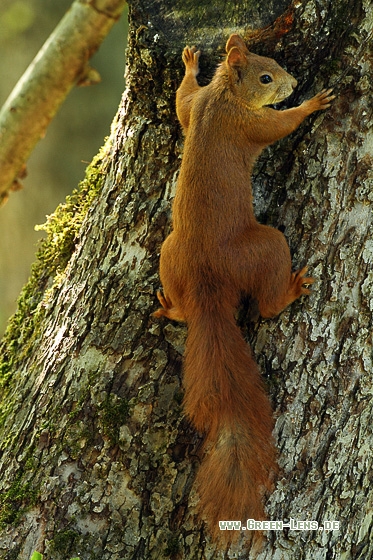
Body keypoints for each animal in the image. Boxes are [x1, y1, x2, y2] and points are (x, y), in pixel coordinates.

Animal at [154, 32, 334, 540]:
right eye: (267, 77)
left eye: (269, 60)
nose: (293, 82)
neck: (223, 98)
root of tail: (208, 287)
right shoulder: (248, 125)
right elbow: (279, 126)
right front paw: (312, 103)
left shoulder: (196, 107)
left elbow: (182, 103)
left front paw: (191, 64)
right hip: (264, 247)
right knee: (268, 301)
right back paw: (290, 290)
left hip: (168, 255)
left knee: (178, 302)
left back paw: (171, 307)